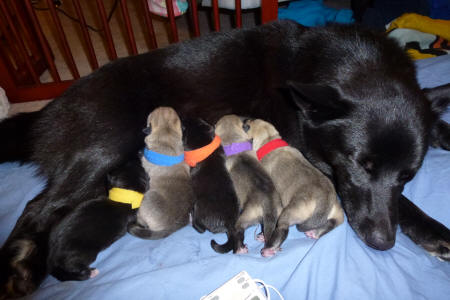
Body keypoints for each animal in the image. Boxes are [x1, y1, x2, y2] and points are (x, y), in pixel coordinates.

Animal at [246, 118, 344, 256]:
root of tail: (325, 199)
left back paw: (269, 248)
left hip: (291, 211)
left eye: (247, 126)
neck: (269, 140)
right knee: (331, 224)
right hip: (337, 213)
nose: (246, 120)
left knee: (282, 228)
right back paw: (315, 233)